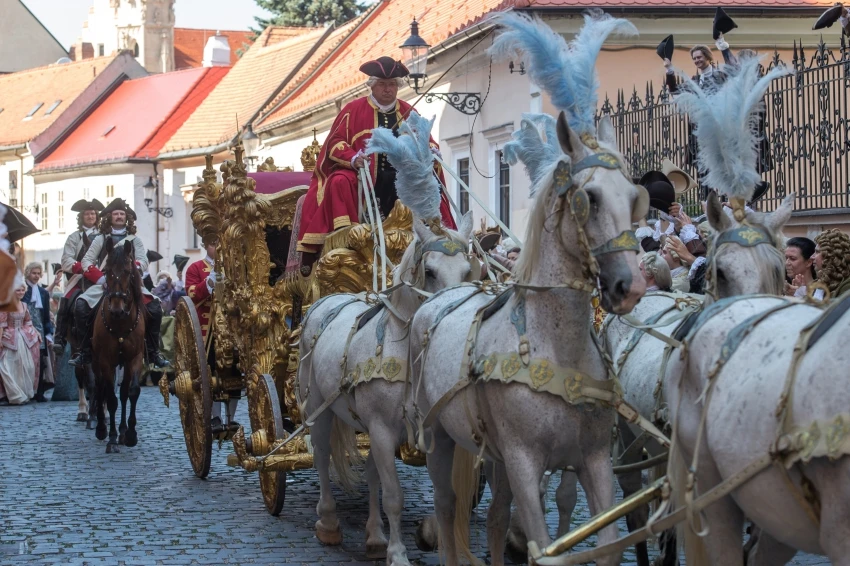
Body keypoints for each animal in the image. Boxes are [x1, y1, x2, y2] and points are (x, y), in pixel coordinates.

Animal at [294, 112, 474, 566]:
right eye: (430, 271)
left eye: (469, 270)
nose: (451, 314)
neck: (408, 348)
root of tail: (328, 300)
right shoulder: (379, 428)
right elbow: (394, 495)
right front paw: (398, 553)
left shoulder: (425, 429)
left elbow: (441, 495)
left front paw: (426, 538)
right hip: (319, 406)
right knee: (321, 456)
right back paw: (329, 522)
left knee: (373, 473)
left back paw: (374, 534)